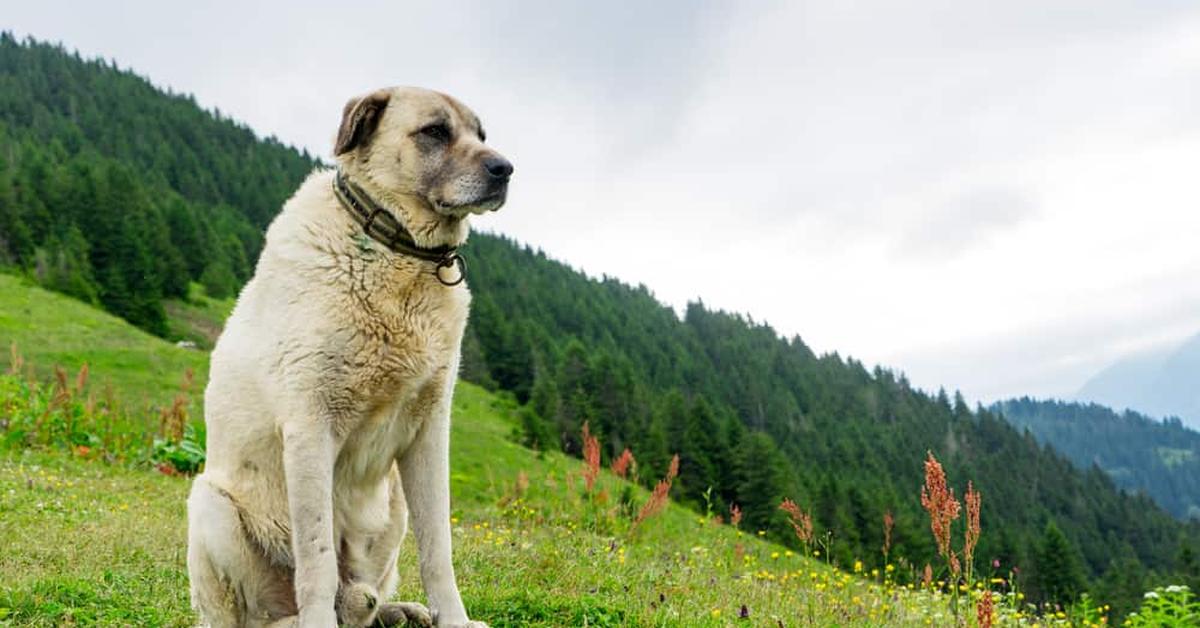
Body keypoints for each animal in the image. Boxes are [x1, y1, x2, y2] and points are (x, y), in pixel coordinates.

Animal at [186, 88, 511, 628]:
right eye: (435, 132)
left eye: (481, 134)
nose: (505, 168)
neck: (395, 250)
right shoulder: (310, 426)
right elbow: (316, 555)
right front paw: (317, 618)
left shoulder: (429, 431)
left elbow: (438, 549)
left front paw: (455, 620)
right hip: (210, 505)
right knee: (252, 616)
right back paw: (297, 621)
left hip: (393, 505)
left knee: (365, 596)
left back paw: (398, 611)